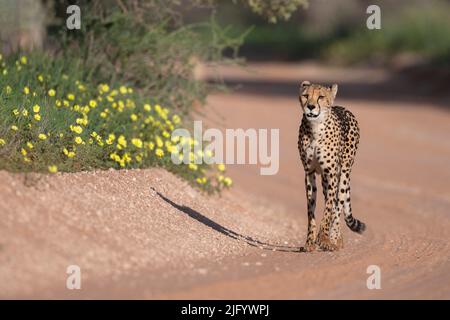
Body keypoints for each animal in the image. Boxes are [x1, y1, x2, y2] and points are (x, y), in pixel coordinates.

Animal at [298, 81, 366, 251]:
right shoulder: (309, 173)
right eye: (306, 95)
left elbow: (329, 209)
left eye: (321, 97)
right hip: (324, 179)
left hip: (343, 174)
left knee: (338, 205)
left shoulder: (331, 173)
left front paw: (323, 239)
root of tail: (343, 108)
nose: (310, 106)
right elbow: (311, 211)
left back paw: (335, 240)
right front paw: (309, 242)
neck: (316, 128)